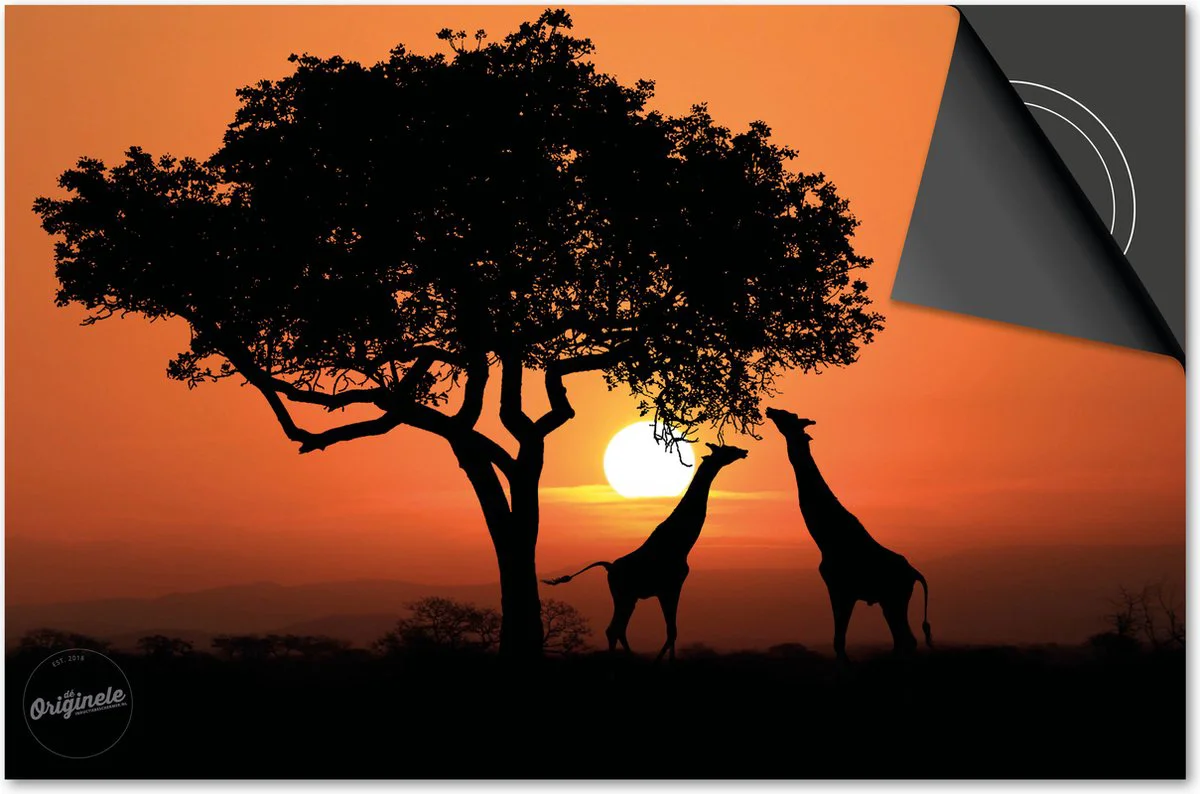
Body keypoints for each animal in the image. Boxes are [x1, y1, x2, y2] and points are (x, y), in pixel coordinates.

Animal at [542, 443, 749, 662]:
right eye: (727, 449)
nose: (743, 451)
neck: (682, 544)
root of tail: (609, 567)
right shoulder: (670, 587)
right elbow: (672, 631)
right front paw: (662, 662)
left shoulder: (669, 588)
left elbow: (672, 631)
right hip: (624, 595)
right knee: (614, 629)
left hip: (628, 597)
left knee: (617, 629)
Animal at [765, 407, 932, 662]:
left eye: (788, 416)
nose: (770, 410)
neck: (827, 538)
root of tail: (915, 573)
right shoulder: (842, 590)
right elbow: (839, 641)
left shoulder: (841, 589)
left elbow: (839, 642)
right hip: (889, 601)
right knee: (903, 641)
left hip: (895, 598)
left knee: (907, 640)